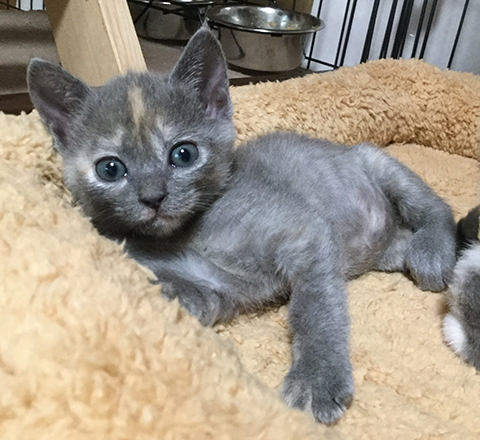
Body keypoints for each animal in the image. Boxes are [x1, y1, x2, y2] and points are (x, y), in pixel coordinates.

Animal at [27, 27, 457, 424]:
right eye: (110, 169)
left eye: (183, 154)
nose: (153, 197)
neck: (190, 233)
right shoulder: (215, 292)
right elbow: (189, 295)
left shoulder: (305, 235)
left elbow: (314, 307)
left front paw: (317, 377)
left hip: (377, 162)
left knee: (436, 208)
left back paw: (433, 251)